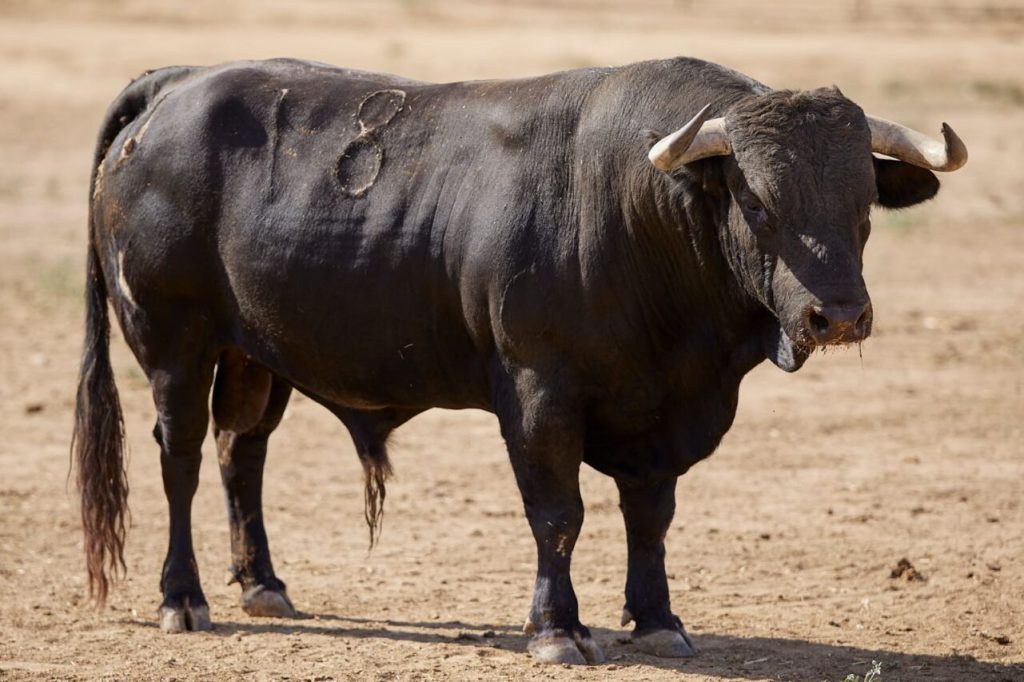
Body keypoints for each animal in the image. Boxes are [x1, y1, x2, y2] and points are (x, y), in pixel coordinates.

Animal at [75, 55, 962, 659]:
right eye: (758, 202)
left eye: (863, 203)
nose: (838, 315)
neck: (632, 212)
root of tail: (179, 85)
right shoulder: (538, 396)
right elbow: (558, 514)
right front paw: (556, 629)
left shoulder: (661, 413)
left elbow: (651, 518)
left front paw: (658, 619)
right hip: (174, 345)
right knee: (183, 459)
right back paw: (184, 597)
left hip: (256, 357)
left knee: (241, 453)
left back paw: (261, 582)